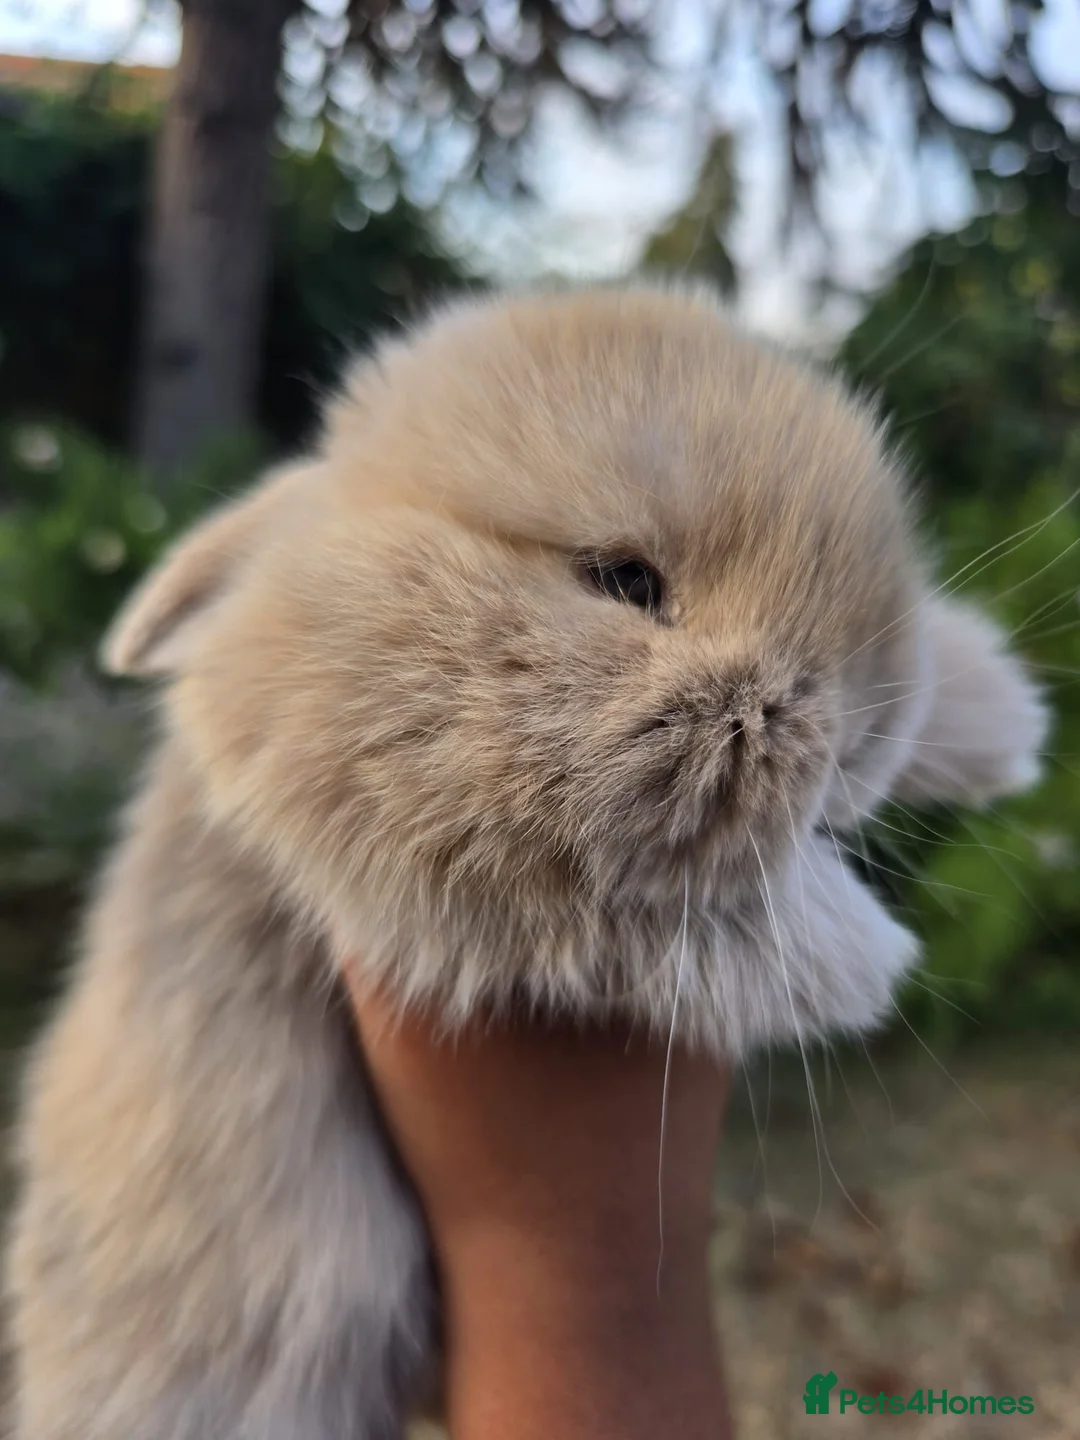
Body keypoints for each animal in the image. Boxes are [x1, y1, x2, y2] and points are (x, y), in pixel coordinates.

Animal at [4, 283, 1048, 1439]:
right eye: (623, 579)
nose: (861, 736)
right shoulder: (467, 878)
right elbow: (670, 915)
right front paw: (862, 953)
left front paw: (1003, 717)